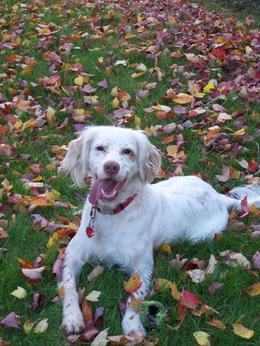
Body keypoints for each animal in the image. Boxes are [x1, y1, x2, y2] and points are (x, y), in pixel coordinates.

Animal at [59, 125, 260, 340]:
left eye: (127, 151)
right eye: (100, 148)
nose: (111, 167)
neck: (112, 213)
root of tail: (217, 196)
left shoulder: (143, 267)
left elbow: (134, 299)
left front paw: (132, 326)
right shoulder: (72, 254)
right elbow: (68, 286)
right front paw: (72, 317)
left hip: (200, 236)